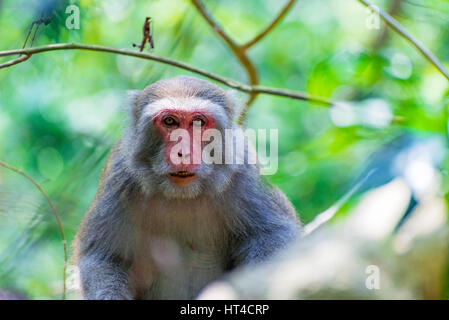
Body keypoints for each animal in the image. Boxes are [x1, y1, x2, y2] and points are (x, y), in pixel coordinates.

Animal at [73, 75, 300, 300]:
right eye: (169, 121)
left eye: (198, 122)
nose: (182, 152)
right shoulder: (119, 177)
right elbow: (103, 257)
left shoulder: (244, 171)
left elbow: (273, 236)